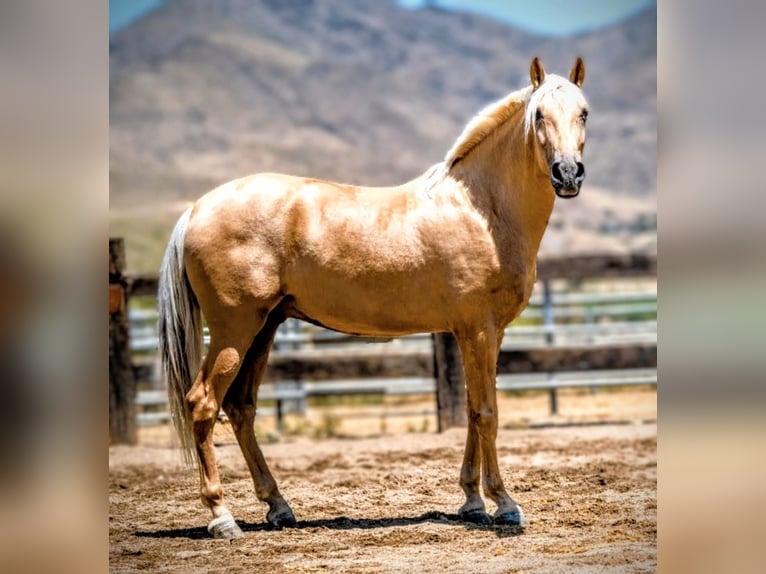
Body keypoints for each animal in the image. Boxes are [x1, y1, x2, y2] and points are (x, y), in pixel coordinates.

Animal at [158, 57, 588, 539]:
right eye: (539, 115)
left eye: (584, 113)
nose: (568, 174)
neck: (482, 210)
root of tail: (196, 209)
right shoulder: (479, 329)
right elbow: (487, 412)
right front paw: (504, 504)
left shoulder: (482, 333)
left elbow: (472, 414)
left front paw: (472, 501)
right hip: (235, 329)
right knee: (203, 404)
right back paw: (222, 517)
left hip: (263, 328)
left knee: (240, 407)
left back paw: (279, 507)